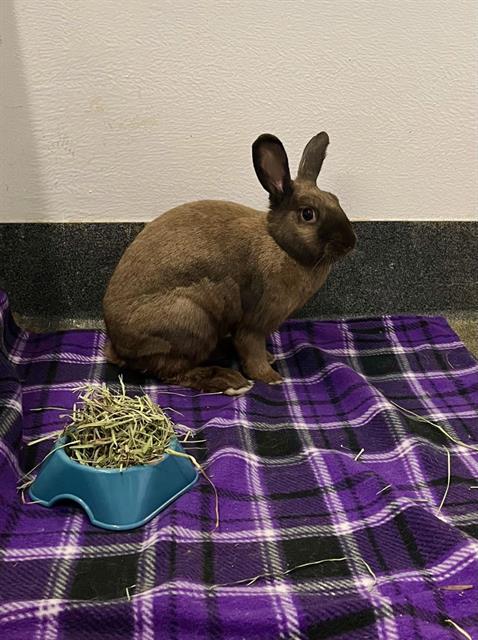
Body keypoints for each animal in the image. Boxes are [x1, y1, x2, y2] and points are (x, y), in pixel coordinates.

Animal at [103, 132, 354, 392]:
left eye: (335, 200)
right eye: (308, 214)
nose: (350, 242)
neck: (280, 245)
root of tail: (118, 346)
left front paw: (269, 359)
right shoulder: (255, 323)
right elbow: (251, 349)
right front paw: (270, 377)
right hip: (193, 321)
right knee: (173, 372)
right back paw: (230, 380)